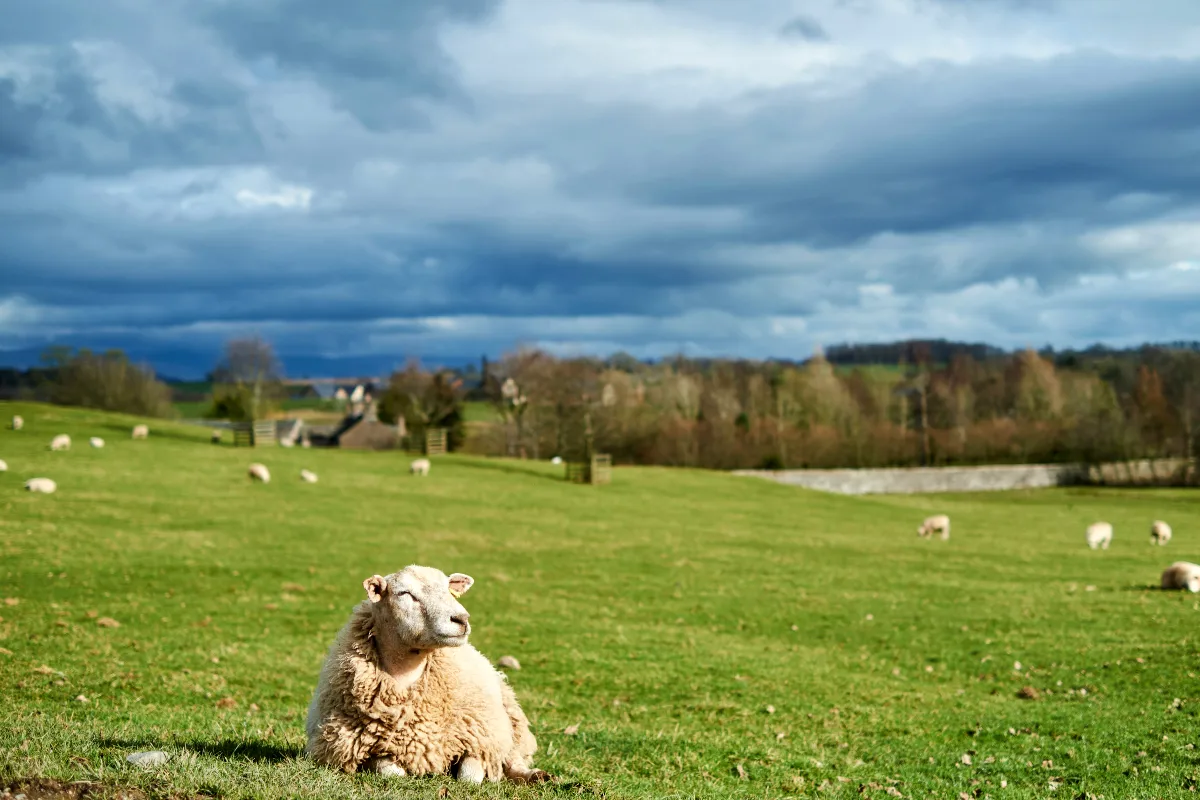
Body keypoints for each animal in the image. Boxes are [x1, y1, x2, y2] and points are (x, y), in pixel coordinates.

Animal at [309, 566, 552, 786]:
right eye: (405, 593)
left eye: (449, 589)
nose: (461, 619)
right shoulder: (362, 749)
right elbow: (391, 772)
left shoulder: (480, 739)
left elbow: (469, 778)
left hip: (509, 721)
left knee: (514, 758)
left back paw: (536, 776)